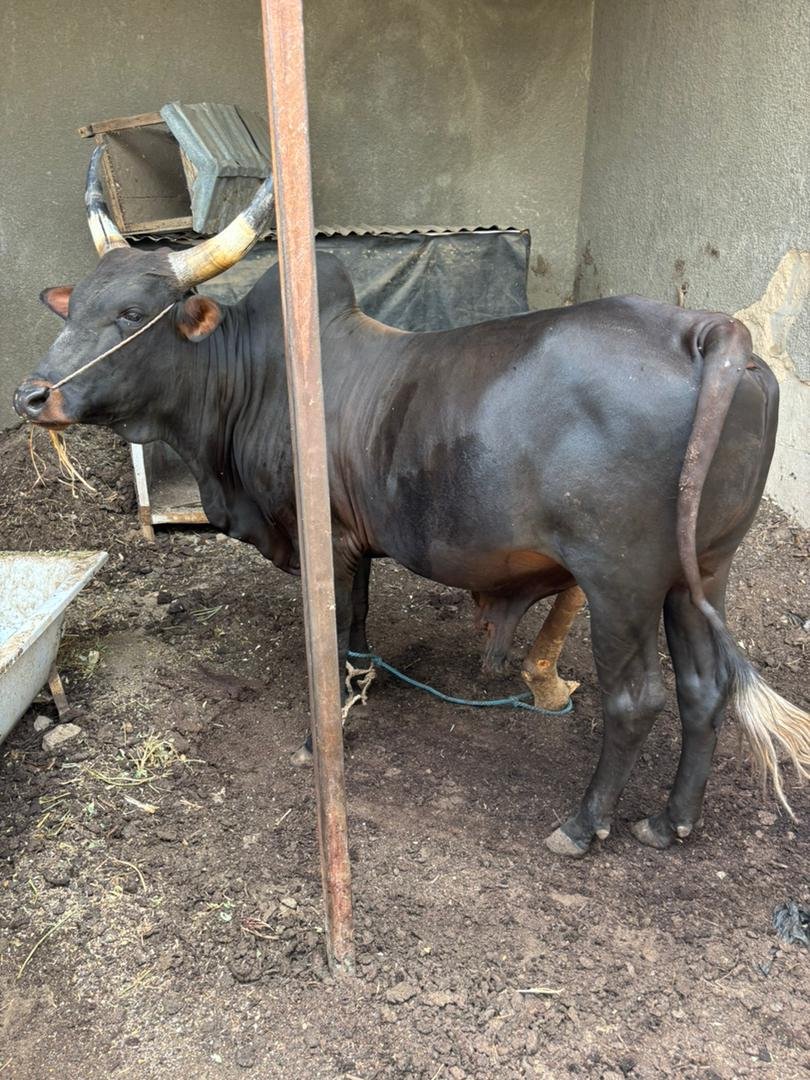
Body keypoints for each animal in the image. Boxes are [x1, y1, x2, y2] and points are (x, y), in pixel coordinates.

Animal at [15, 147, 809, 857]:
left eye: (131, 312)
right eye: (75, 307)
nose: (32, 394)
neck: (255, 380)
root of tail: (708, 329)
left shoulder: (324, 543)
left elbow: (330, 638)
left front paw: (322, 736)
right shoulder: (356, 543)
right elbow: (358, 627)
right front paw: (363, 685)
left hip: (622, 581)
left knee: (636, 699)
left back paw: (585, 825)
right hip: (701, 572)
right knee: (704, 688)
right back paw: (671, 821)